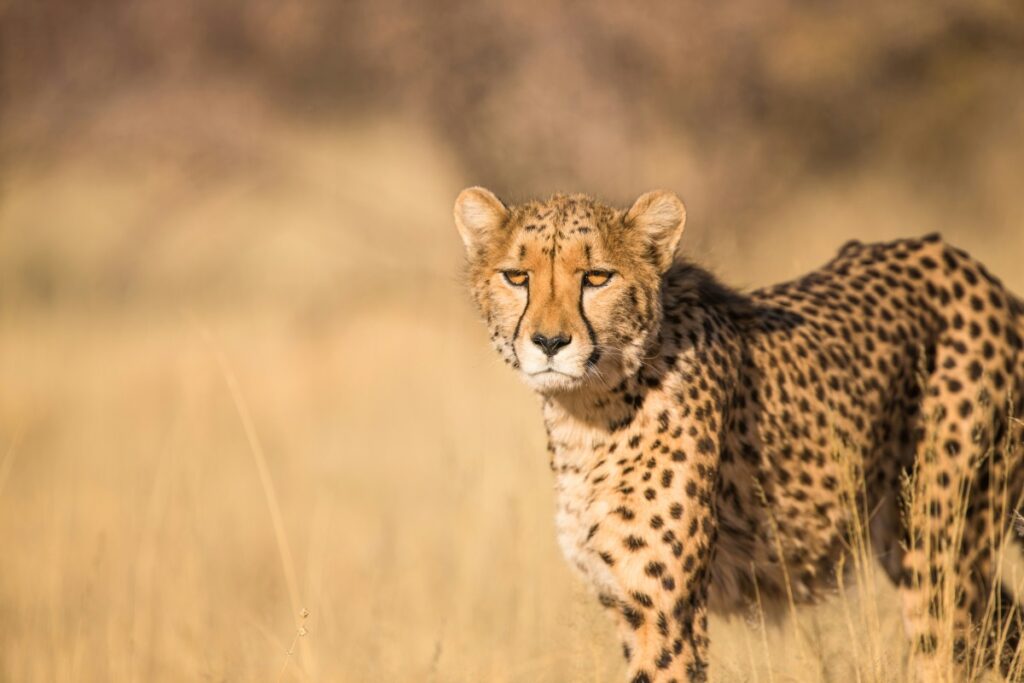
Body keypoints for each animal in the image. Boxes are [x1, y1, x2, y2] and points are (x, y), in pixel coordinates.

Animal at [452, 188, 1024, 683]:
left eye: (596, 277)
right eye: (516, 276)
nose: (549, 342)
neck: (588, 411)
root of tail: (968, 266)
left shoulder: (666, 613)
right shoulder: (625, 602)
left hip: (940, 551)